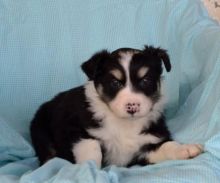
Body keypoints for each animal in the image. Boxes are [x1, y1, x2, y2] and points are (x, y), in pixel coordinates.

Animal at [30, 45, 204, 167]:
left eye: (145, 80)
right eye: (115, 83)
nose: (132, 107)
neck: (126, 123)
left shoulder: (146, 145)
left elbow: (167, 146)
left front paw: (186, 149)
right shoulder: (75, 130)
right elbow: (92, 149)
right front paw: (89, 170)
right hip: (40, 131)